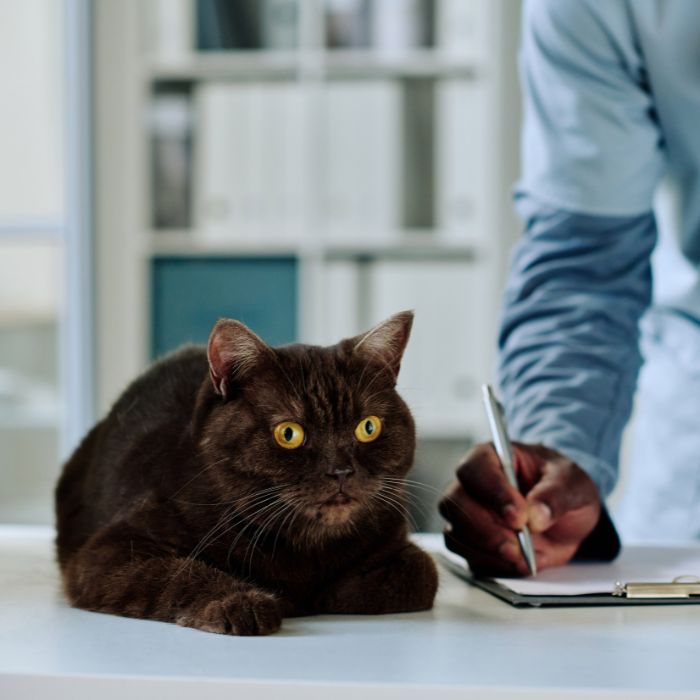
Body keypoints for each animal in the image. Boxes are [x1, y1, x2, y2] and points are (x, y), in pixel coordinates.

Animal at [54, 312, 438, 636]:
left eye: (368, 427)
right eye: (288, 433)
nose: (341, 470)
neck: (307, 546)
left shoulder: (395, 531)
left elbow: (422, 573)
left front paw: (327, 592)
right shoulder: (109, 551)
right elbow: (176, 573)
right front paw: (244, 602)